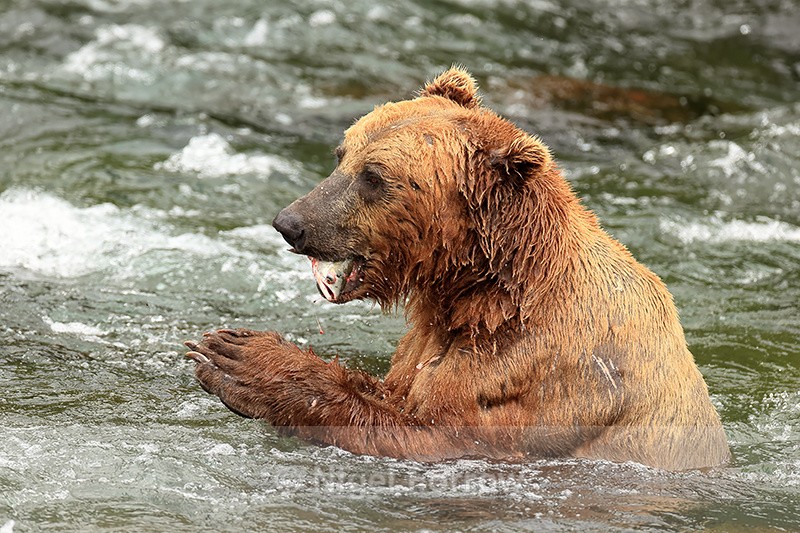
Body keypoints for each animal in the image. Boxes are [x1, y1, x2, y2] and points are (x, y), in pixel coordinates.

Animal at [185, 67, 730, 471]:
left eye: (373, 177)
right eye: (342, 155)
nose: (290, 222)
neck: (487, 291)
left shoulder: (535, 372)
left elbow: (435, 434)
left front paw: (241, 358)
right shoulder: (429, 343)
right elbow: (397, 391)